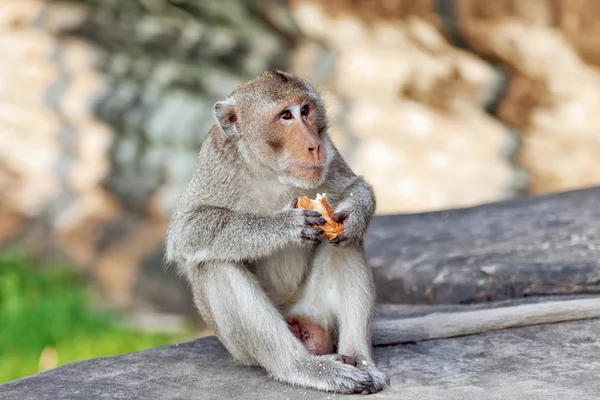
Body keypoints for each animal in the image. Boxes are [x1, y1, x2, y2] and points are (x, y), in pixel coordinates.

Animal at [164, 69, 390, 394]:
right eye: (286, 116)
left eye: (305, 110)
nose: (314, 145)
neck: (271, 171)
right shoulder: (215, 161)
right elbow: (187, 229)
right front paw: (284, 225)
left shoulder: (331, 150)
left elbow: (353, 188)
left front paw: (355, 215)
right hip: (240, 348)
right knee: (215, 263)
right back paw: (304, 367)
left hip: (316, 309)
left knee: (347, 245)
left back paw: (360, 360)